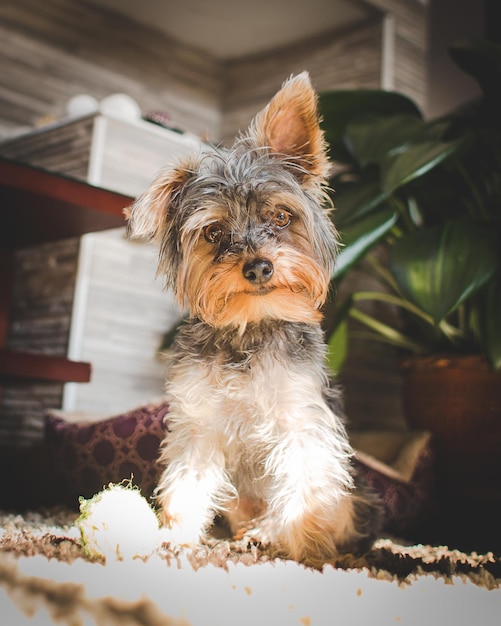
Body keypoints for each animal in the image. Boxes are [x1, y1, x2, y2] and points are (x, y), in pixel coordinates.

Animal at [126, 70, 382, 564]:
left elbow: (304, 485)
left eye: (281, 217)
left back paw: (277, 537)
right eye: (213, 232)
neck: (249, 328)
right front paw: (175, 539)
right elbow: (187, 483)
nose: (259, 266)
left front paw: (306, 554)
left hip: (350, 495)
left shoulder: (302, 422)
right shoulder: (198, 424)